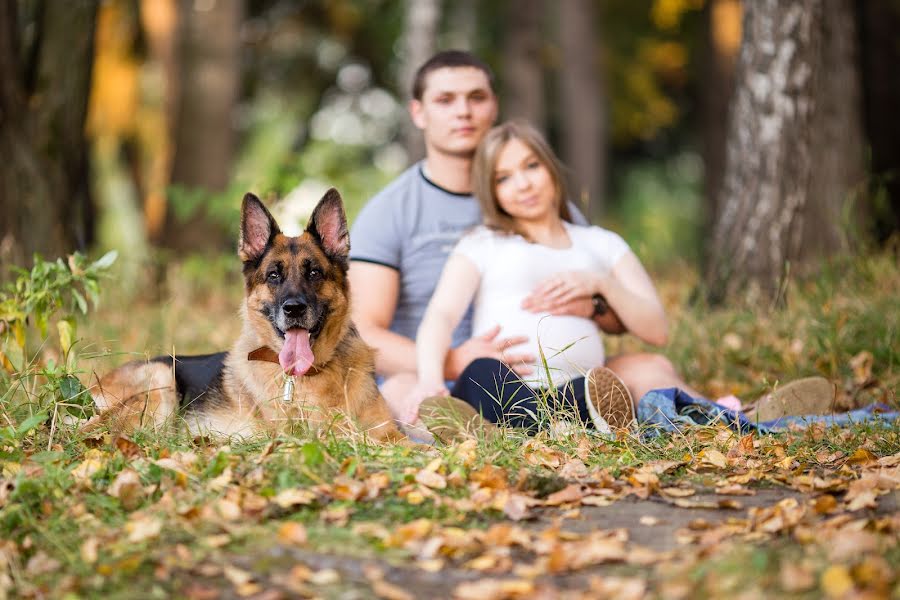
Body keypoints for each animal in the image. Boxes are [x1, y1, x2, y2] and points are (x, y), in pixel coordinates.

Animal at [87, 189, 400, 440]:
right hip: (161, 378)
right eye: (273, 275)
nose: (294, 309)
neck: (310, 374)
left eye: (314, 273)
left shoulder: (389, 433)